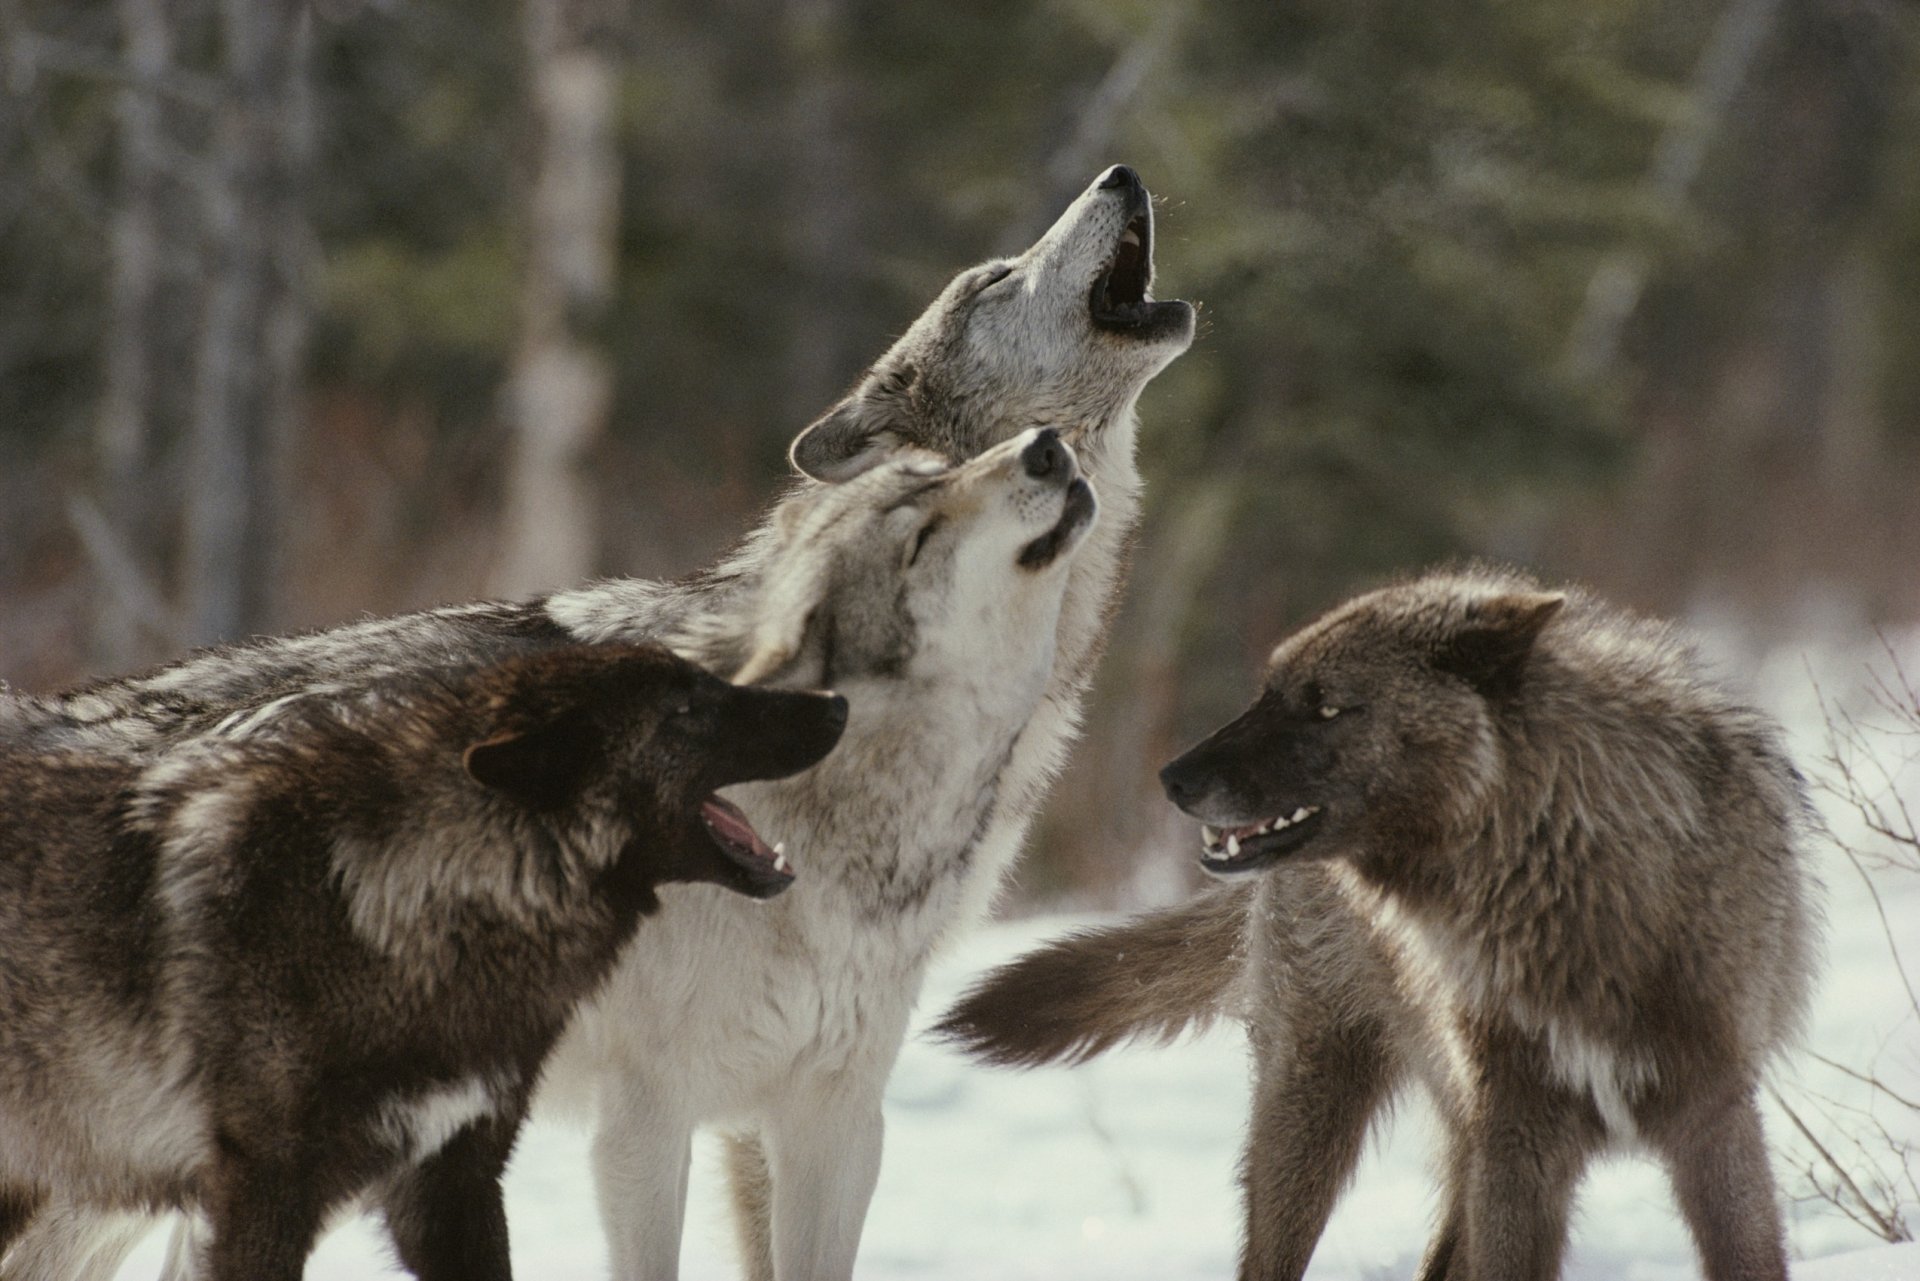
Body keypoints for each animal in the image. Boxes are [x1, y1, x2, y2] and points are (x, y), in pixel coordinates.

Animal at [936, 564, 1820, 1281]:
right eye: (1267, 691)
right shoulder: (1520, 1141)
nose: (1172, 778)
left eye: (1325, 705)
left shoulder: (1714, 1117)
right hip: (1313, 1115)